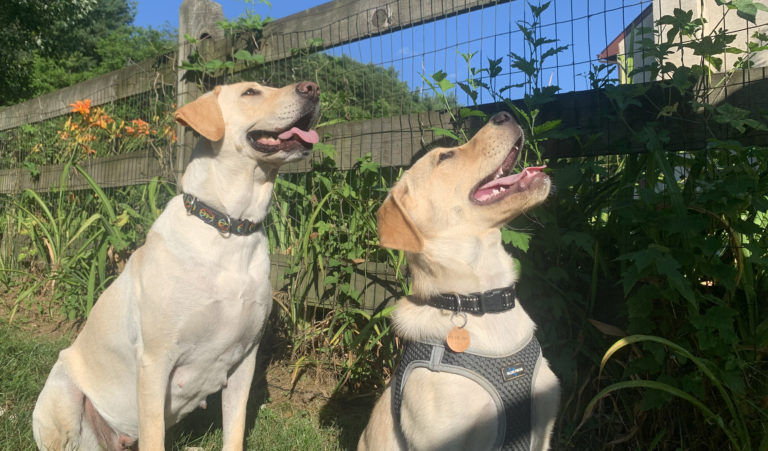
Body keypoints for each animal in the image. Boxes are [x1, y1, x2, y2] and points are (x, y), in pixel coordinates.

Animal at [33, 82, 320, 451]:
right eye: (251, 92)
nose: (312, 88)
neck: (228, 226)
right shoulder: (155, 362)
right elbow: (155, 434)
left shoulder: (245, 359)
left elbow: (235, 430)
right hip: (62, 392)